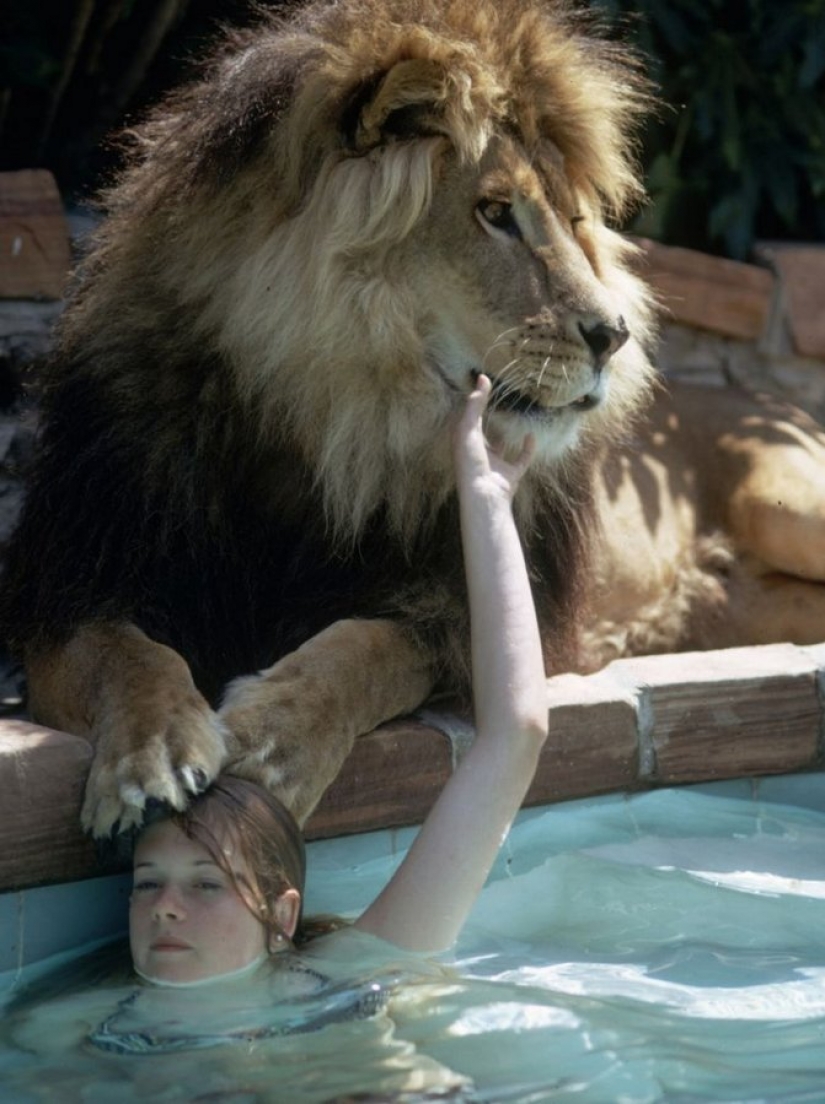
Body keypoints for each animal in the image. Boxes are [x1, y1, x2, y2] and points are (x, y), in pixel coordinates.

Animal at [2, 0, 823, 838]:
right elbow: (122, 654)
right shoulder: (76, 581)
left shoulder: (457, 614)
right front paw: (152, 755)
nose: (614, 335)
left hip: (787, 503)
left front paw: (274, 737)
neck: (324, 424)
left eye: (573, 221)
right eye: (494, 213)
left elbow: (365, 648)